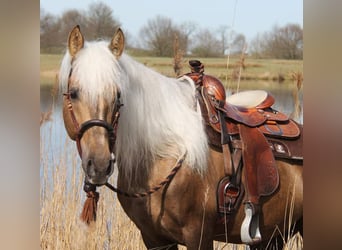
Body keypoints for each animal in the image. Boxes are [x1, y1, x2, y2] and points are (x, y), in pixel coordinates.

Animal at [59, 25, 302, 250]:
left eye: (118, 95)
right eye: (74, 93)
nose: (99, 165)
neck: (162, 154)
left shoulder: (198, 235)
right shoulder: (153, 238)